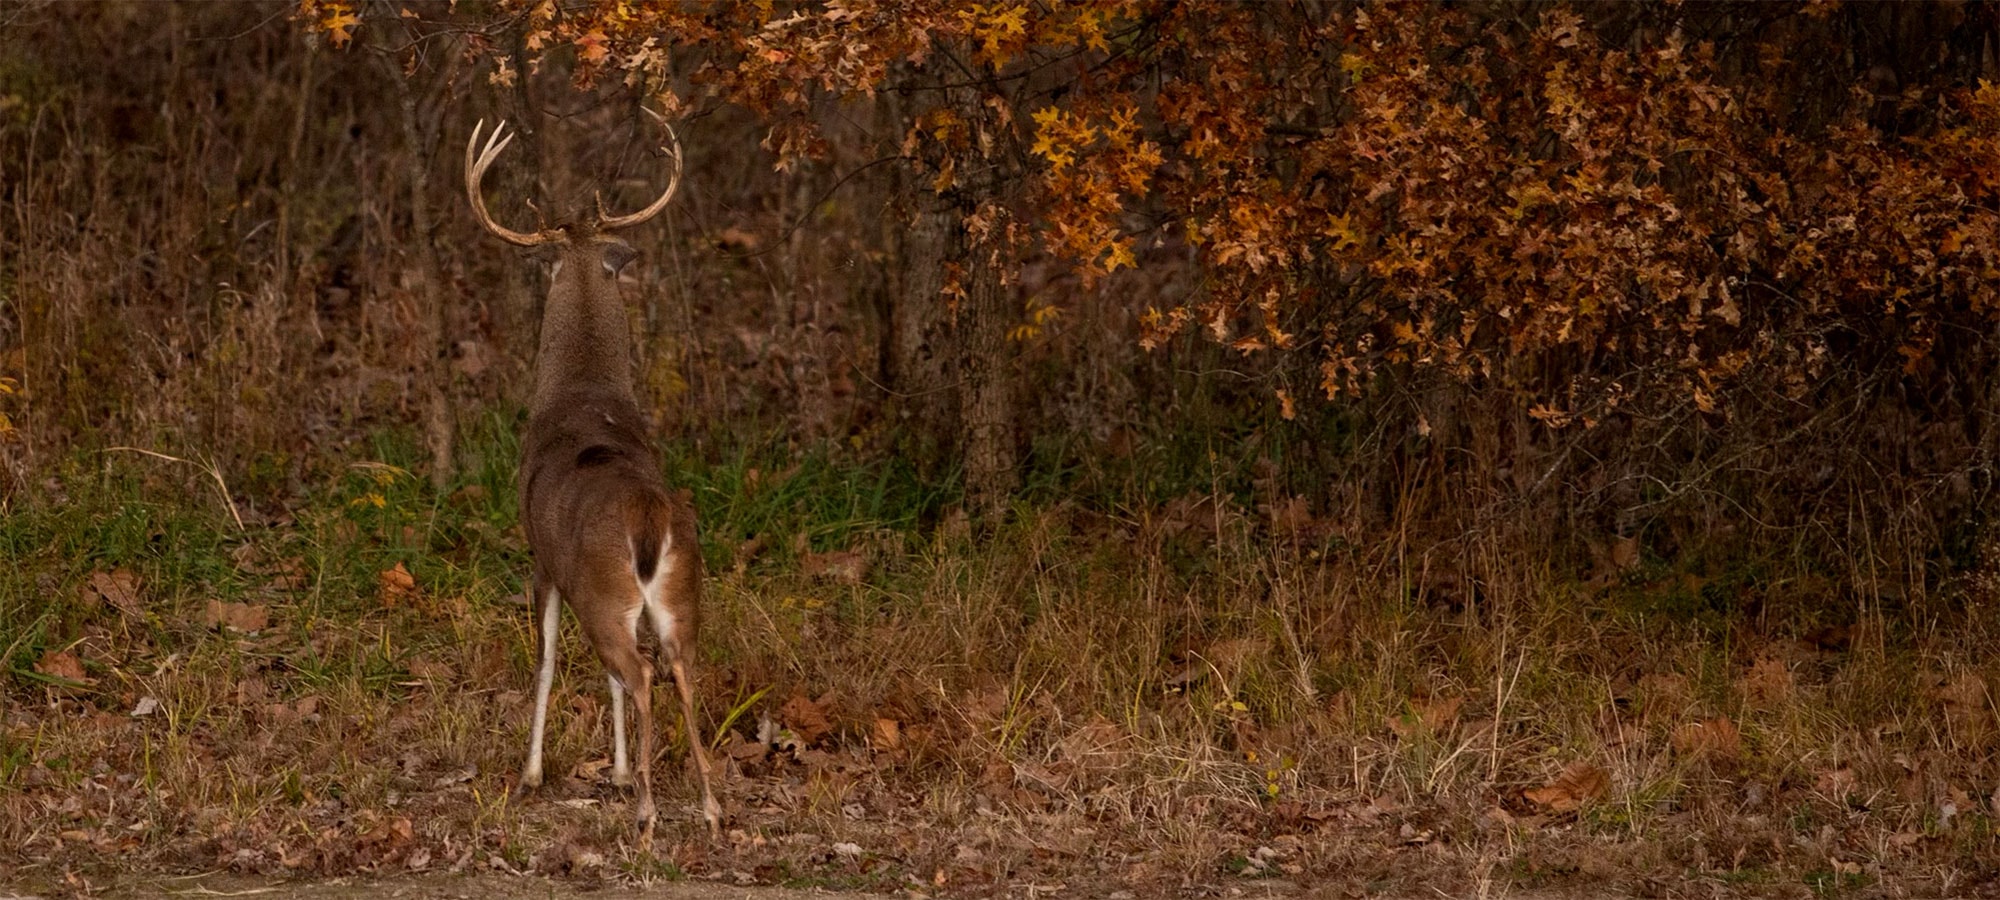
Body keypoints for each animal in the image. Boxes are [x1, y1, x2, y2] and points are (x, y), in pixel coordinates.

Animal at [465, 118, 721, 841]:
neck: (583, 389)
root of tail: (648, 521)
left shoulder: (543, 561)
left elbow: (547, 662)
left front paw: (532, 774)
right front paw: (620, 769)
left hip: (603, 592)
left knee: (638, 672)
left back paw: (650, 811)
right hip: (680, 593)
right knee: (680, 668)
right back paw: (710, 804)